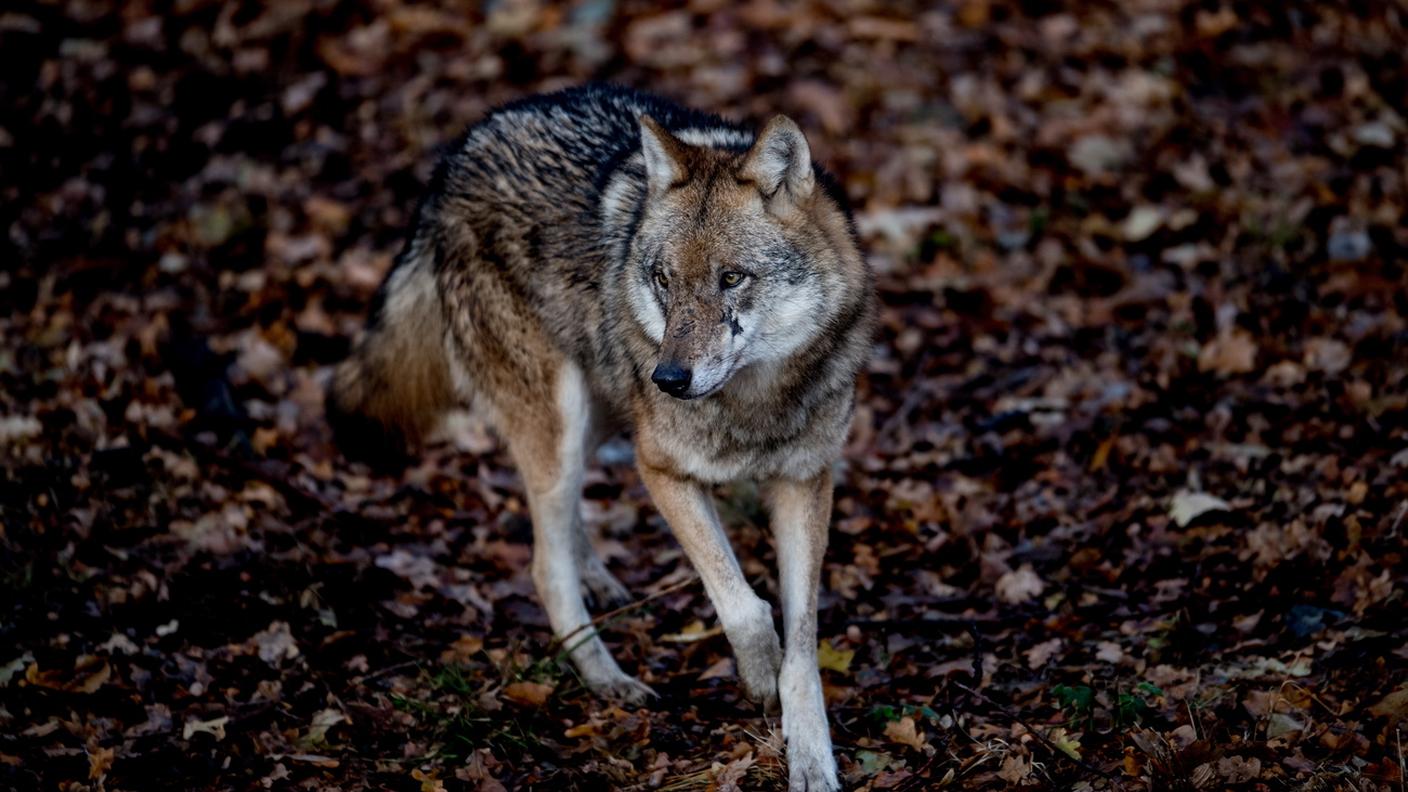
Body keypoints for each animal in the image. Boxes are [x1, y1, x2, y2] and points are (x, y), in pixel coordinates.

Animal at [329, 85, 875, 791]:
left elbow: (803, 640)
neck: (755, 403)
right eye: (664, 279)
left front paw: (810, 756)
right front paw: (758, 678)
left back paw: (600, 579)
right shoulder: (660, 469)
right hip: (561, 425)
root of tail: (456, 157)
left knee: (563, 524)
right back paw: (608, 678)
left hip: (600, 414)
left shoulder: (805, 479)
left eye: (732, 278)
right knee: (543, 561)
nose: (669, 378)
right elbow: (745, 606)